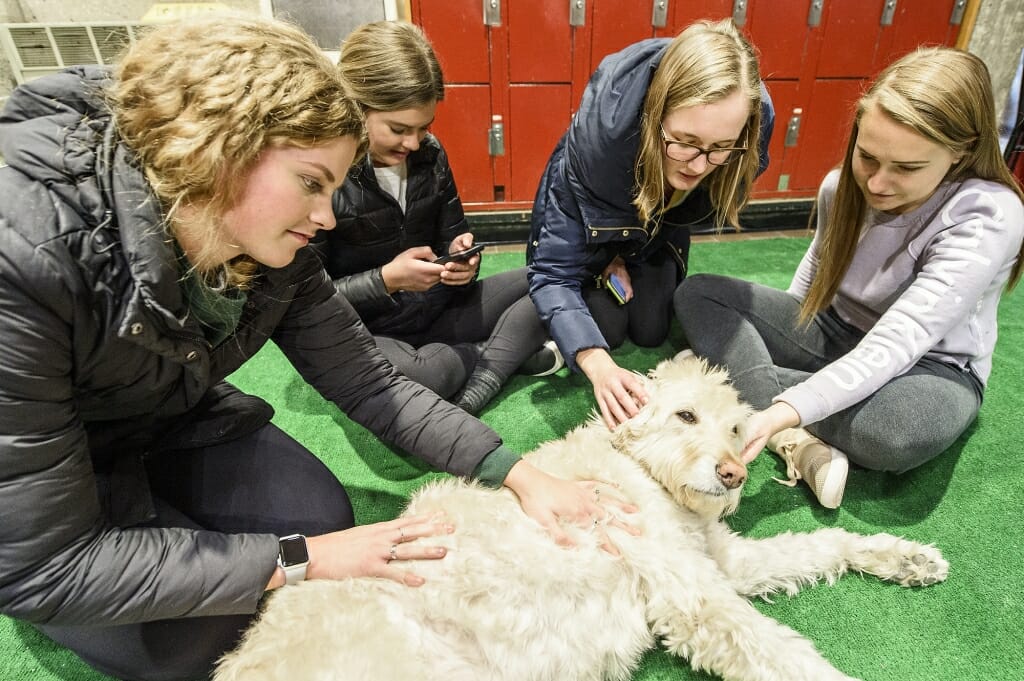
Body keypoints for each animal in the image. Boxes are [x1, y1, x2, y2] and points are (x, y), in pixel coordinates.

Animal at [214, 356, 942, 679]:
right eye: (685, 415)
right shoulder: (692, 593)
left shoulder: (721, 562)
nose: (734, 474)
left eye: (738, 428)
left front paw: (903, 557)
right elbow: (778, 650)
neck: (638, 472)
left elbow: (818, 545)